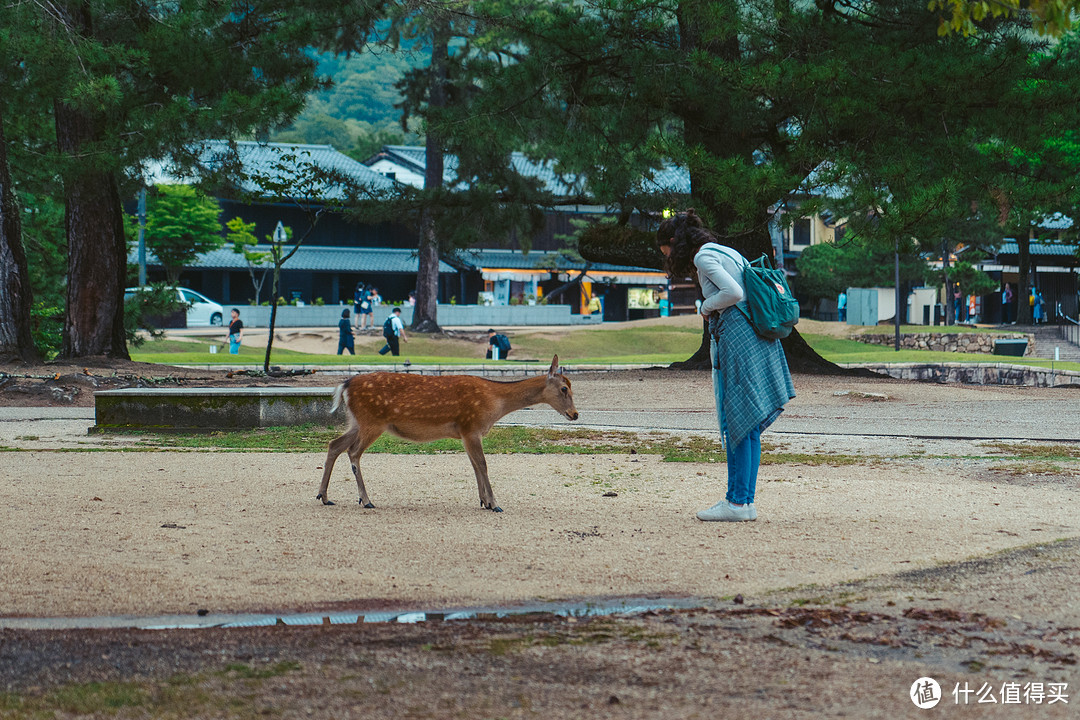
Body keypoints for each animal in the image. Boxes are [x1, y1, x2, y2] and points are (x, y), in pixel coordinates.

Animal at [315, 354, 578, 511]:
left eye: (571, 386)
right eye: (564, 388)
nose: (575, 414)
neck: (495, 404)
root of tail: (344, 386)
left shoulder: (465, 433)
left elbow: (474, 465)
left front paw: (483, 500)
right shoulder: (471, 426)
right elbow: (482, 464)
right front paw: (494, 503)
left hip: (357, 422)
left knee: (334, 444)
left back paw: (324, 496)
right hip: (372, 421)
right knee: (353, 452)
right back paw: (366, 499)